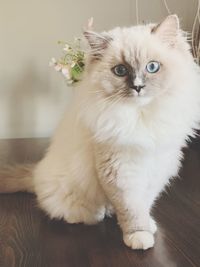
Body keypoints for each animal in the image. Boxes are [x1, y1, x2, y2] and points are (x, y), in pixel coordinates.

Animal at [0, 15, 200, 251]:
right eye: (120, 71)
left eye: (152, 67)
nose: (138, 87)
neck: (141, 117)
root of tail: (36, 172)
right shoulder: (120, 172)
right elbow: (132, 210)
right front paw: (138, 236)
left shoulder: (157, 167)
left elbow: (145, 203)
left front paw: (148, 225)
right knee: (73, 211)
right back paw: (95, 214)